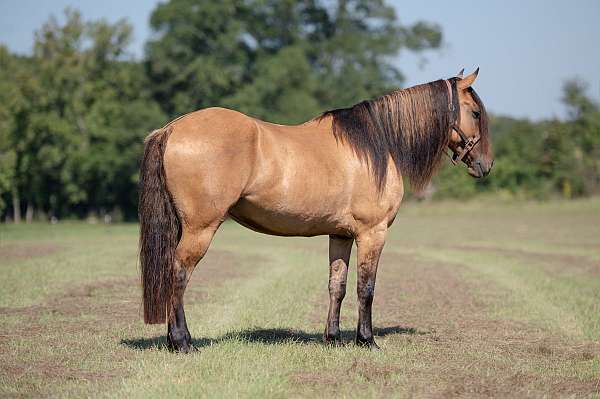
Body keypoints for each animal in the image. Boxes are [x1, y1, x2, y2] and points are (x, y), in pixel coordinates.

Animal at [139, 69, 492, 354]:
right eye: (475, 112)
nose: (485, 166)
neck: (376, 144)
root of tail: (171, 129)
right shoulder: (373, 233)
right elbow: (366, 288)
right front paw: (366, 340)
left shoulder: (341, 235)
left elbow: (338, 285)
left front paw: (333, 338)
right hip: (200, 229)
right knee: (179, 274)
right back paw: (183, 343)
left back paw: (174, 341)